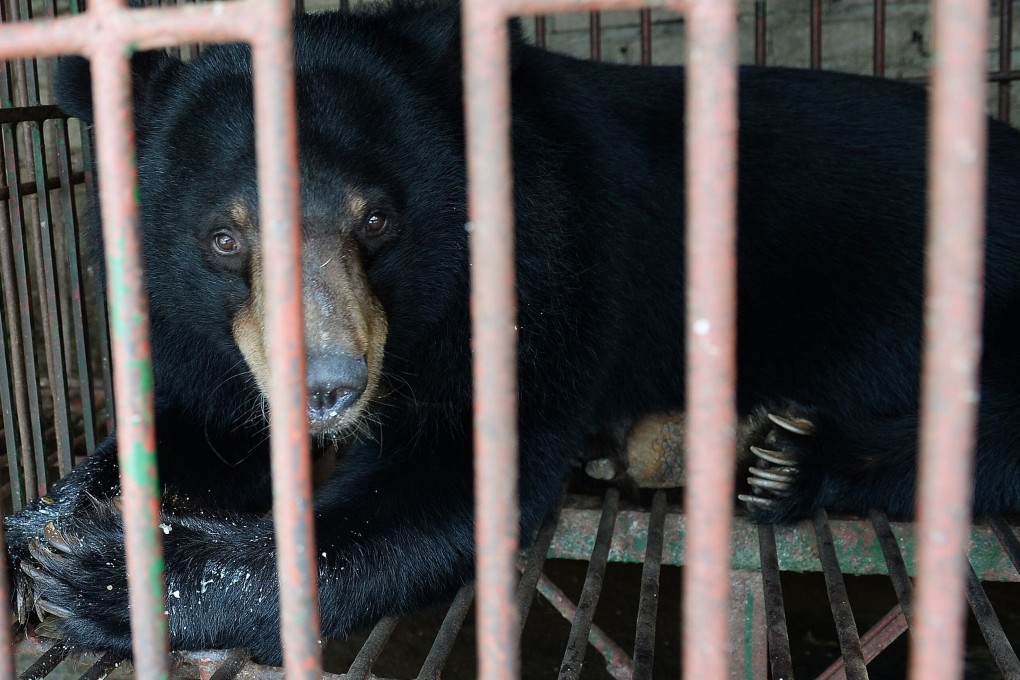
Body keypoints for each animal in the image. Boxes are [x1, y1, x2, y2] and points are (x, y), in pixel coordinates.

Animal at [6, 0, 1020, 664]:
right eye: (224, 237)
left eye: (378, 219)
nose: (328, 389)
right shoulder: (198, 331)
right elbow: (197, 425)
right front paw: (47, 527)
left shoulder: (547, 261)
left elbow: (448, 485)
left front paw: (106, 576)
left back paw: (785, 457)